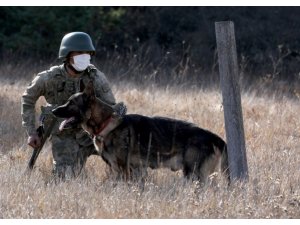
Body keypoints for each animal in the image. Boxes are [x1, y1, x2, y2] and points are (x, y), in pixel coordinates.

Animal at [52, 81, 230, 184]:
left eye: (71, 103)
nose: (53, 111)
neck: (106, 123)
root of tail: (216, 138)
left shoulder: (124, 170)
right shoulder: (126, 170)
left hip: (194, 175)